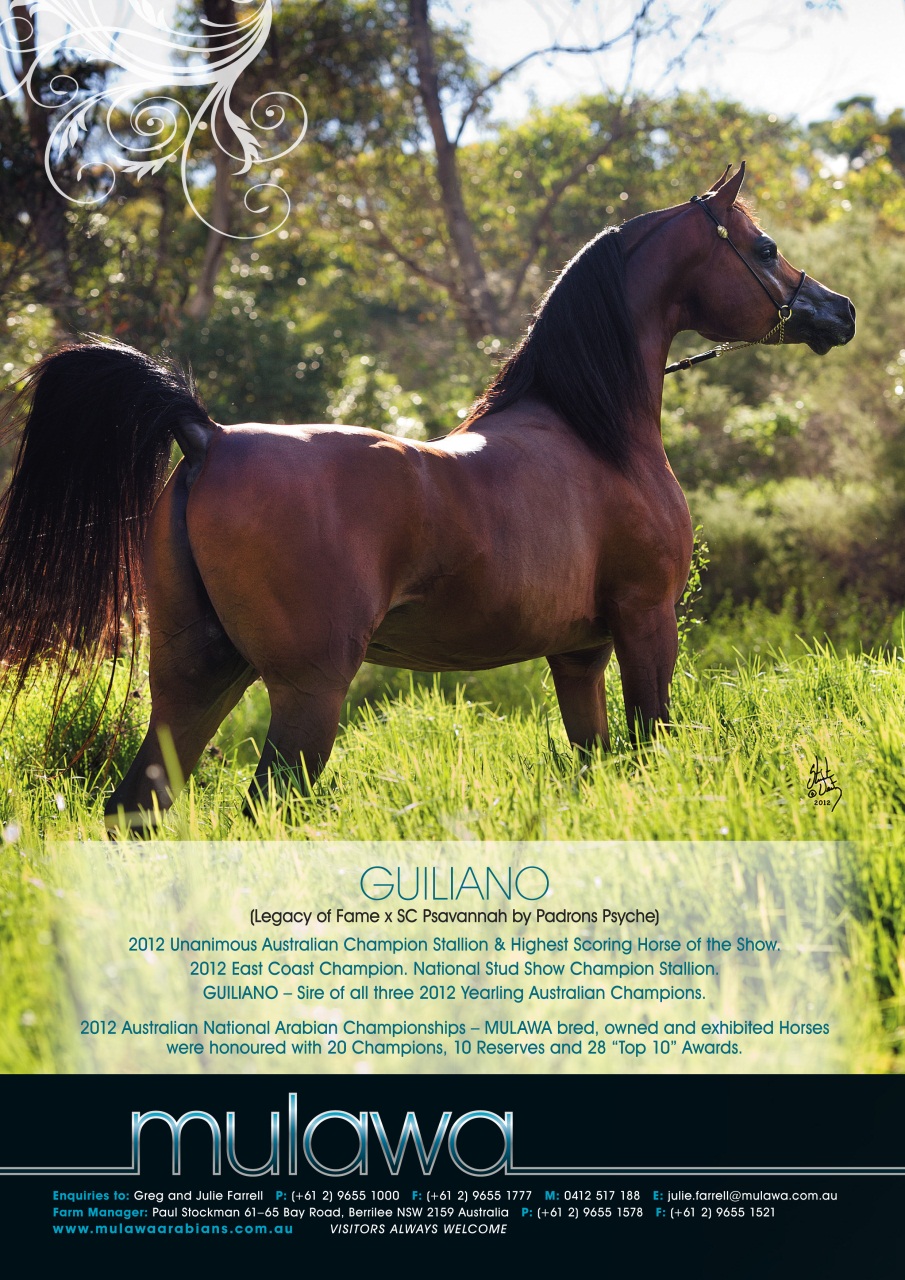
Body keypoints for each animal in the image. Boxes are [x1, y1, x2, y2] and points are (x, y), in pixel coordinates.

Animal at [0, 163, 855, 829]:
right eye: (763, 247)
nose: (838, 310)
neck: (595, 433)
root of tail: (207, 436)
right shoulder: (646, 625)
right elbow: (647, 747)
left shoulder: (577, 654)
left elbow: (594, 761)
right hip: (306, 690)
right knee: (264, 806)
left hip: (196, 674)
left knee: (137, 809)